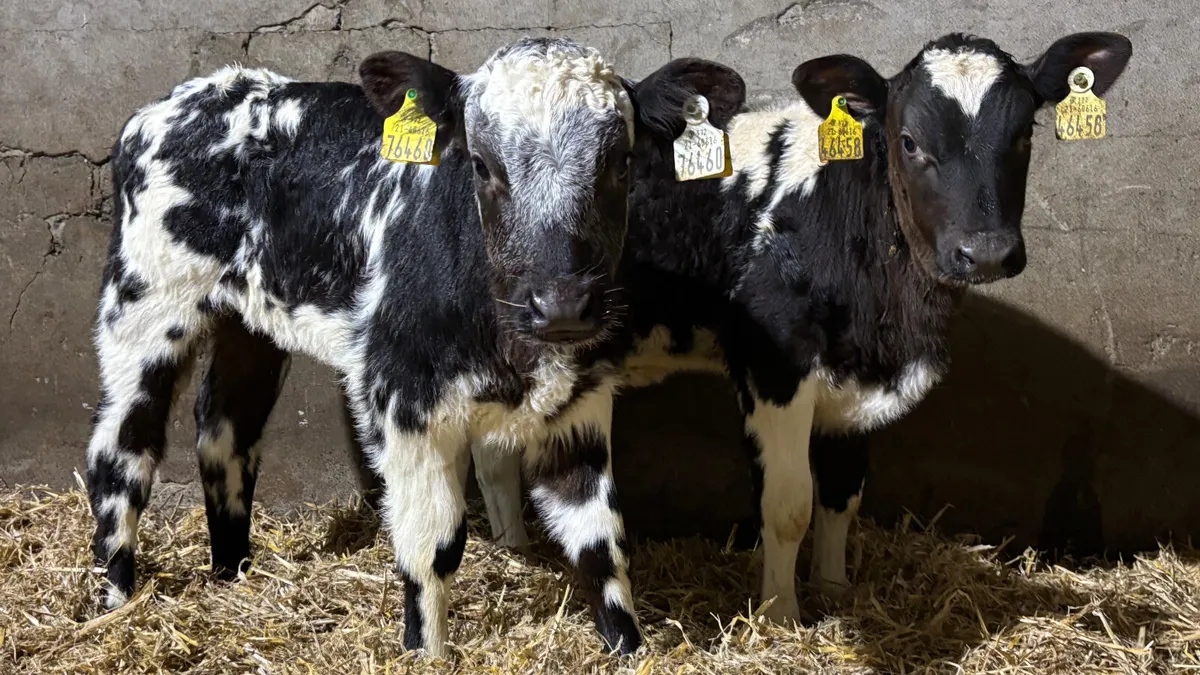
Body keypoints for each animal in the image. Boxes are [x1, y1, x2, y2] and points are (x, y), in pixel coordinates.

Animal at [85, 37, 744, 656]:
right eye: (481, 164)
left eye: (620, 162)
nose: (562, 305)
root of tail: (181, 99)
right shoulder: (403, 398)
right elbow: (434, 545)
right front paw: (425, 649)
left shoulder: (579, 404)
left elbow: (600, 542)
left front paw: (629, 647)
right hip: (144, 305)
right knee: (121, 447)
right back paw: (113, 601)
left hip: (249, 324)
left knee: (225, 431)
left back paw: (232, 574)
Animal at [470, 31, 1132, 625]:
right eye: (909, 141)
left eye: (1024, 134)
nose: (987, 252)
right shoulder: (776, 369)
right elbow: (787, 506)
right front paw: (781, 614)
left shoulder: (853, 377)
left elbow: (842, 493)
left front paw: (834, 589)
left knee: (491, 451)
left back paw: (512, 550)